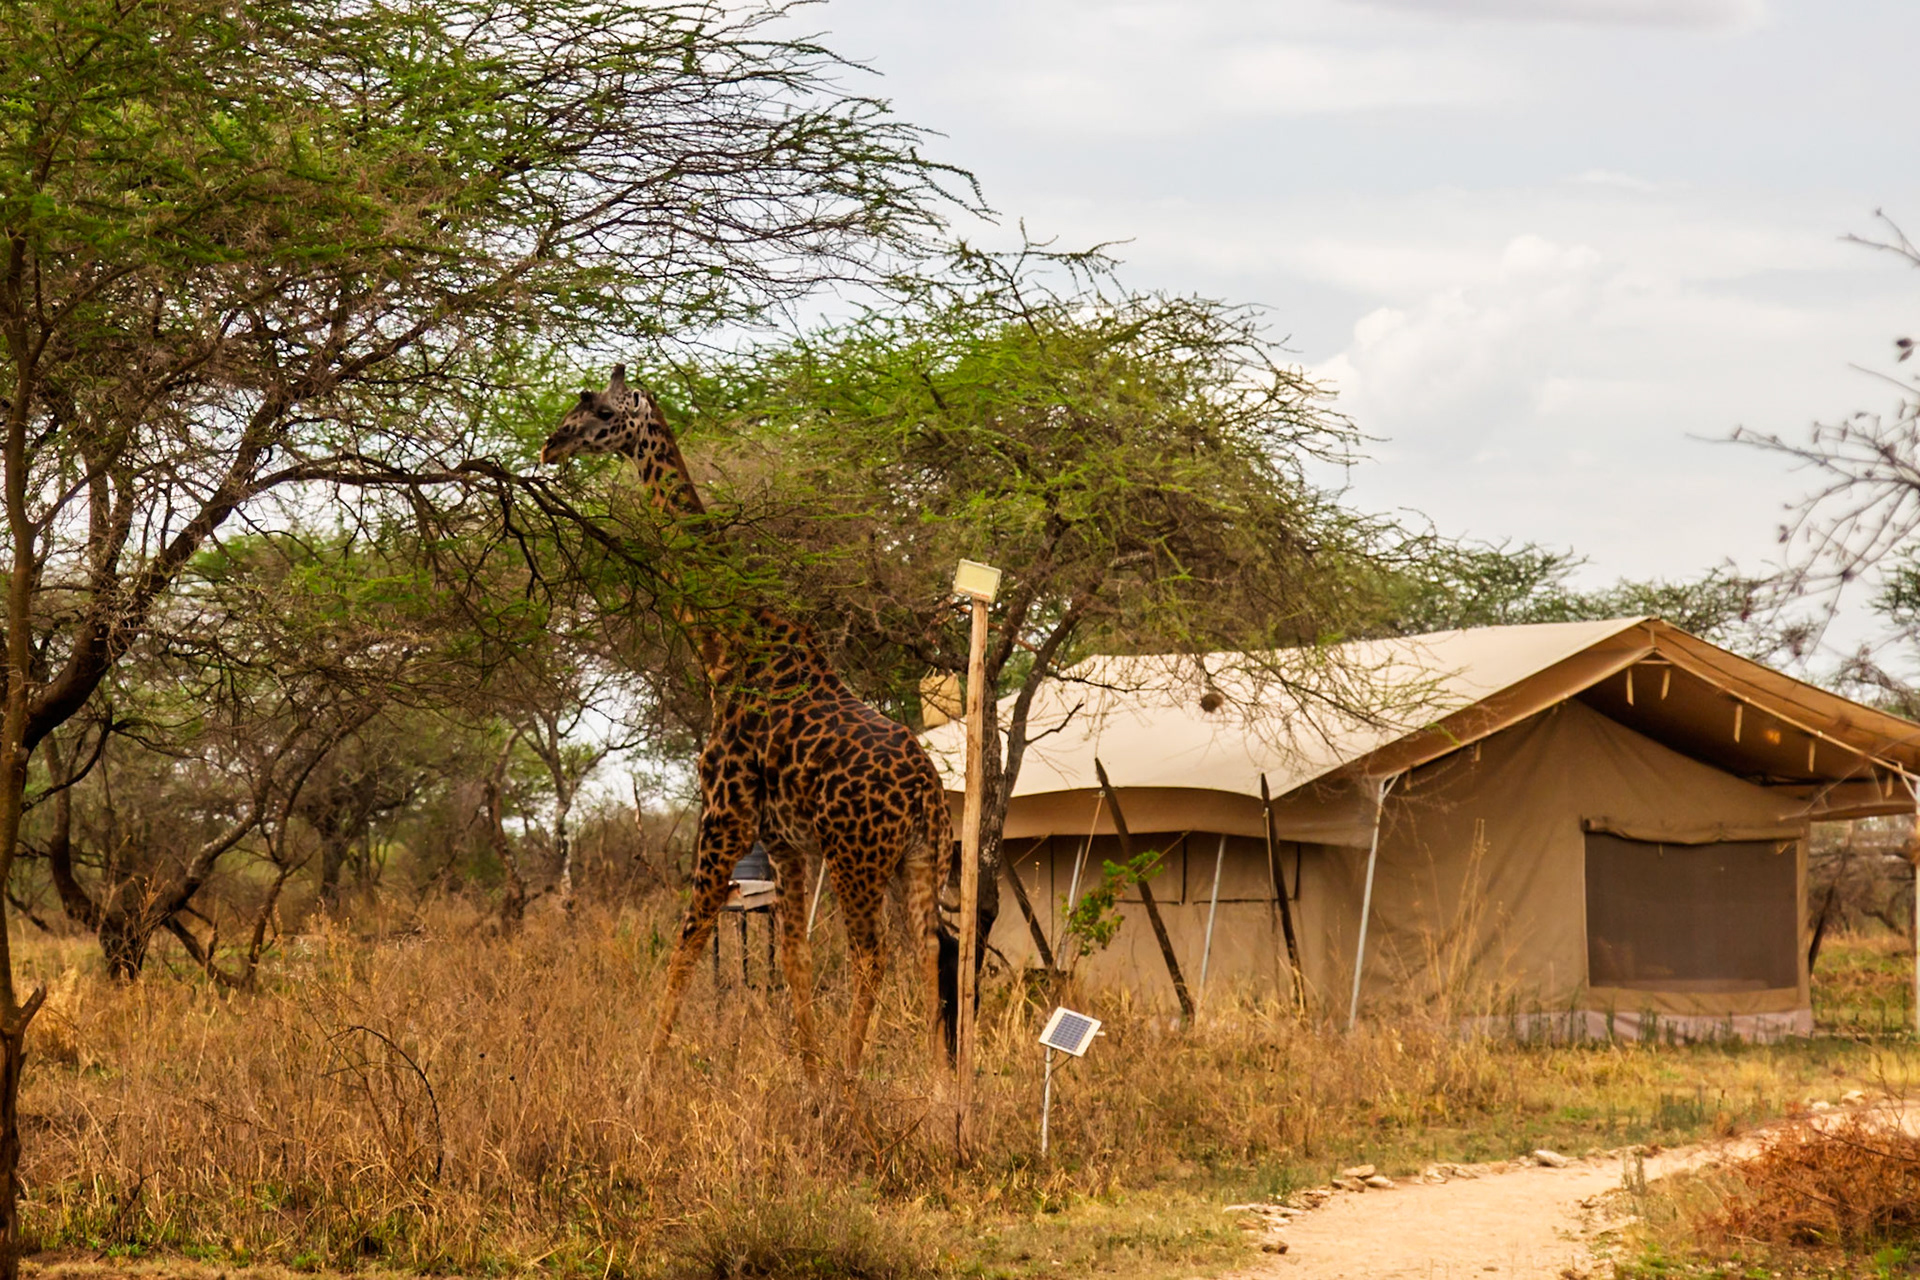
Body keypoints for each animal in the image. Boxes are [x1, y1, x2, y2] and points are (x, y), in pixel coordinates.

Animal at [541, 365, 956, 1074]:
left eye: (598, 408)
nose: (550, 443)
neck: (725, 645)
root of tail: (928, 792)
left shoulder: (724, 815)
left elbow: (685, 945)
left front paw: (644, 1075)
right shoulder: (783, 841)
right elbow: (791, 957)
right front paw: (808, 1073)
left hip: (858, 857)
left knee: (873, 956)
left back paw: (853, 1079)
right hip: (923, 856)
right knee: (931, 954)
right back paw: (943, 1086)